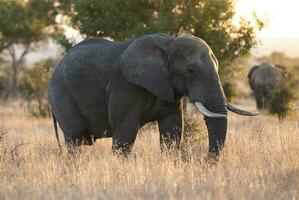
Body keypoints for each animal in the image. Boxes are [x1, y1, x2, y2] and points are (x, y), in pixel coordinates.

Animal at [48, 33, 258, 158]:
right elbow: (125, 131)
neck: (169, 43)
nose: (206, 162)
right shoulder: (125, 86)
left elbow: (172, 130)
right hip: (60, 94)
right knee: (75, 137)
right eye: (190, 71)